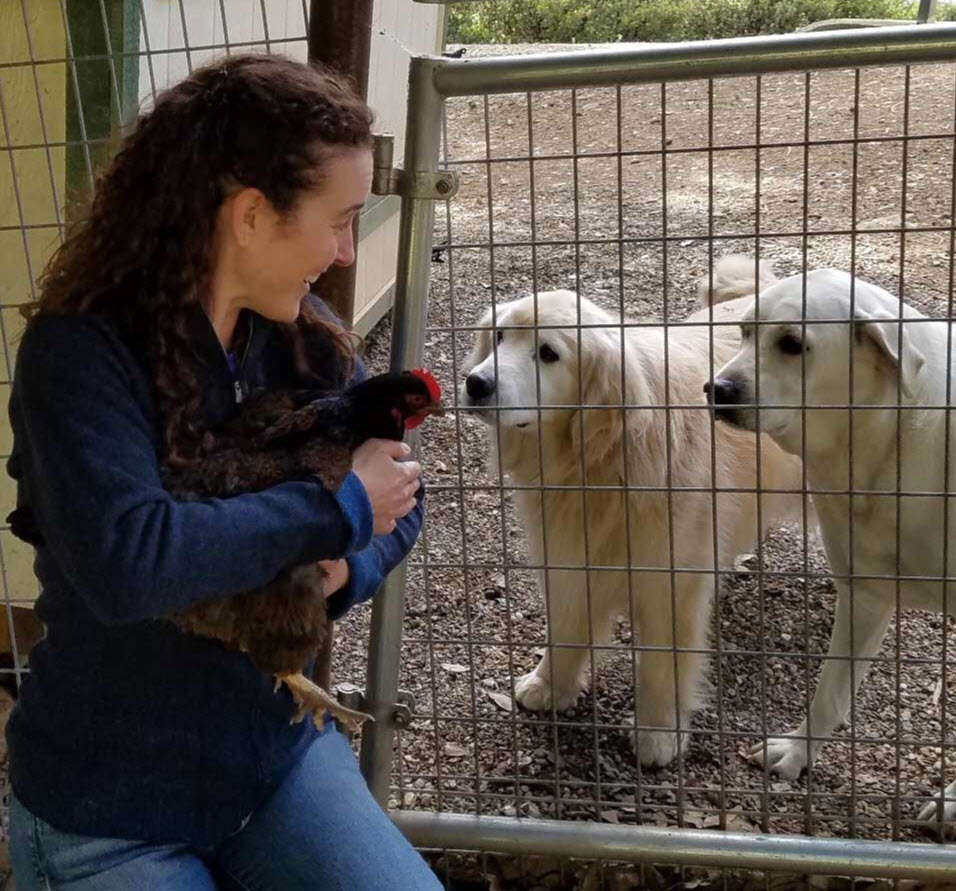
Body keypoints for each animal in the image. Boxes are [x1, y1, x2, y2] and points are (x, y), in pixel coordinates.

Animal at [460, 280, 804, 768]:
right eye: (501, 336)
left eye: (548, 353)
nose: (476, 382)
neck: (600, 458)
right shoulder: (569, 559)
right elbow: (566, 628)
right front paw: (550, 685)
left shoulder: (670, 585)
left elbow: (663, 663)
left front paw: (658, 732)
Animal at [704, 254, 956, 832]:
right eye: (744, 332)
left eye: (792, 344)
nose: (716, 389)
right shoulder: (864, 596)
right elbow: (830, 690)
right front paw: (797, 753)